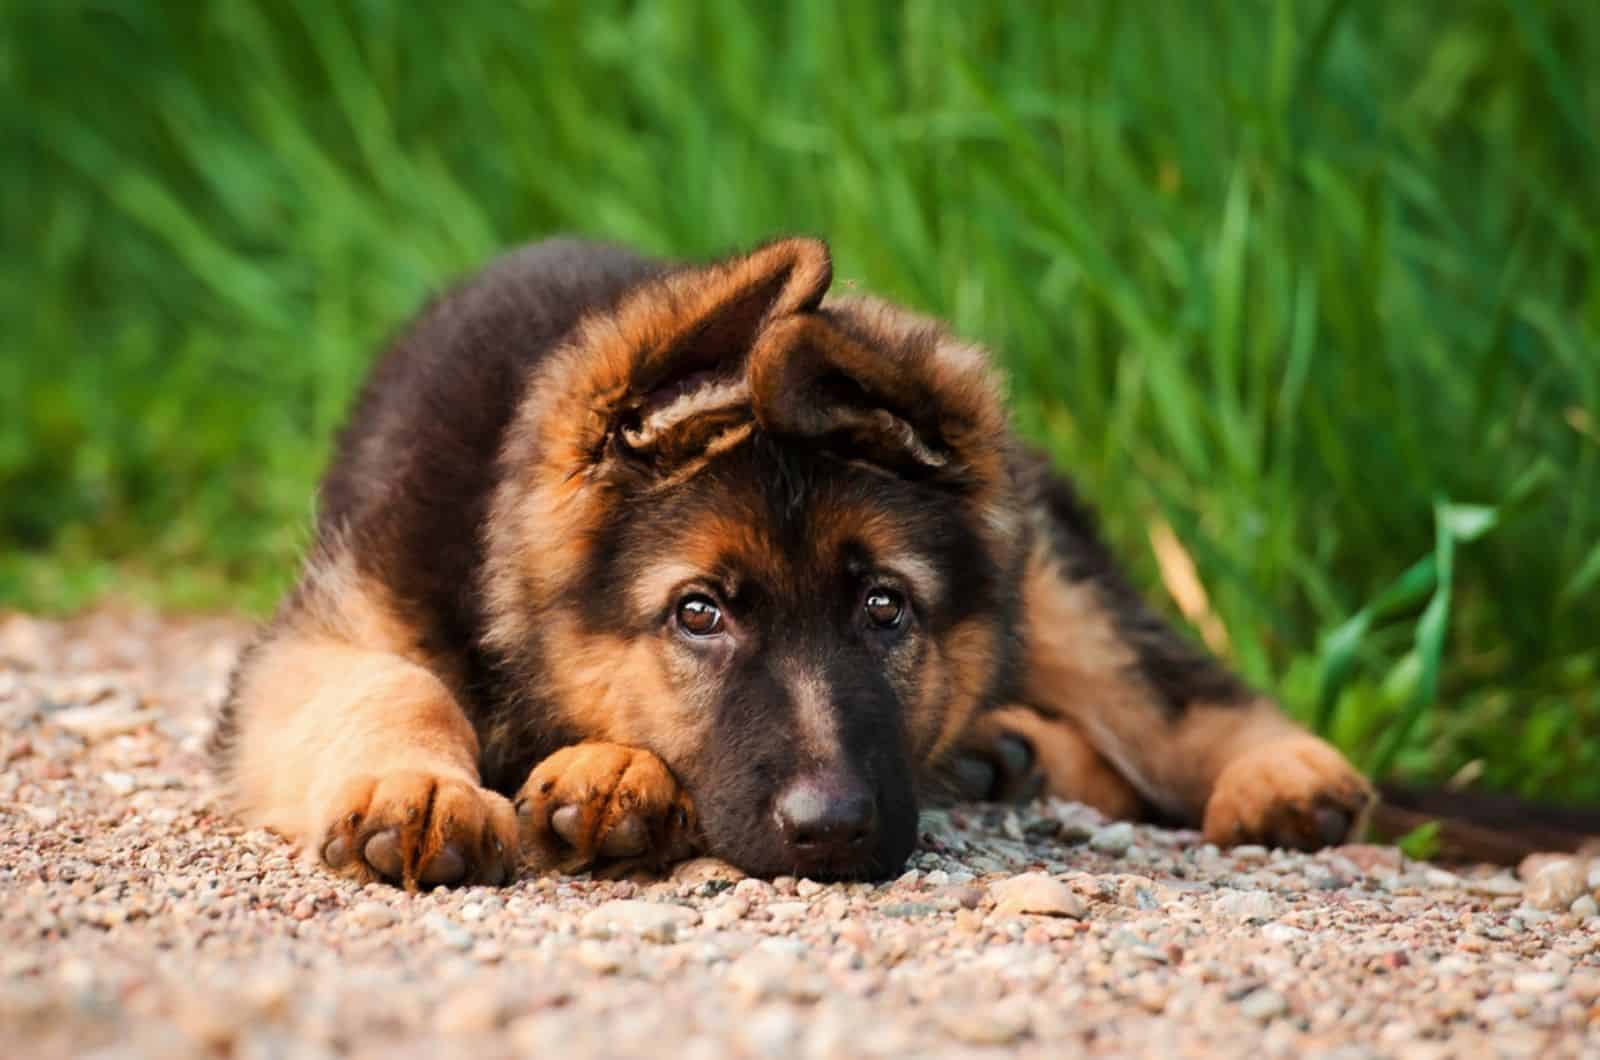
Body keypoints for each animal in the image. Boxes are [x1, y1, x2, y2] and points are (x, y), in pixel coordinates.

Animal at [212, 238, 1369, 890]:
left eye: (885, 607)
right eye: (699, 613)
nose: (833, 833)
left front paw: (602, 770)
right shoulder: (327, 630)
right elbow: (395, 686)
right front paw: (424, 788)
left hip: (1056, 584)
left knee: (1162, 686)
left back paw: (1278, 773)